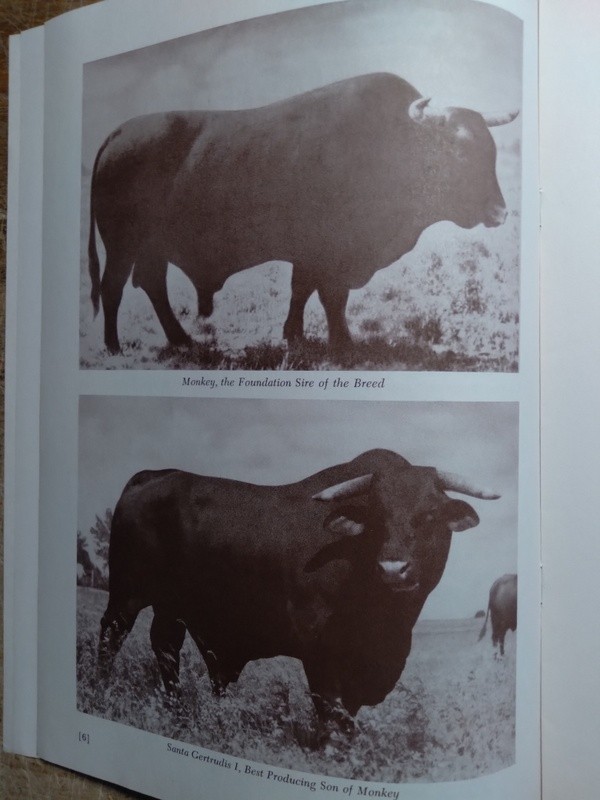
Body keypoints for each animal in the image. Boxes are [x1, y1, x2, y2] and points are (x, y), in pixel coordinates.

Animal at [88, 72, 518, 355]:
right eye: (458, 152)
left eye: (491, 150)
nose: (499, 212)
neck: (393, 144)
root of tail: (116, 136)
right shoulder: (329, 255)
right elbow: (330, 297)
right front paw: (342, 344)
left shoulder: (310, 256)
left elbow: (303, 291)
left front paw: (294, 335)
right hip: (122, 245)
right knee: (113, 287)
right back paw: (113, 347)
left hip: (150, 248)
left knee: (151, 285)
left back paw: (181, 340)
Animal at [98, 448, 500, 735]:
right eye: (376, 517)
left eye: (430, 515)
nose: (392, 568)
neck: (387, 625)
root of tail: (155, 475)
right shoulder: (319, 649)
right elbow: (331, 711)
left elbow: (348, 715)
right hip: (126, 594)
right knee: (112, 637)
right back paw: (100, 690)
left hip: (172, 606)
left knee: (166, 647)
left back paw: (178, 712)